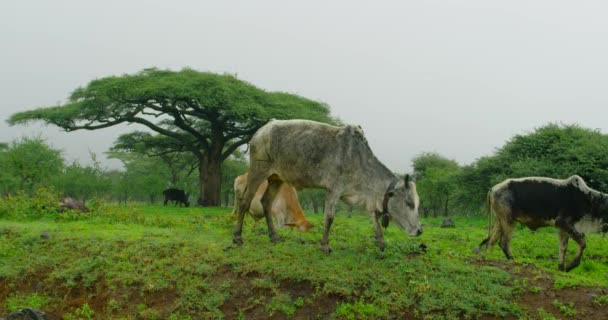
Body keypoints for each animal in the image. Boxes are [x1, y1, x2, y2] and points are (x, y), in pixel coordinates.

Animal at [230, 119, 420, 254]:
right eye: (409, 203)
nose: (419, 231)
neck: (358, 160)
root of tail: (263, 129)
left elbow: (374, 217)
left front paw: (381, 242)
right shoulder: (333, 189)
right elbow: (329, 218)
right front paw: (324, 246)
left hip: (276, 178)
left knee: (266, 202)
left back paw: (274, 237)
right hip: (258, 170)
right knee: (245, 201)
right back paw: (237, 238)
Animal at [480, 176, 608, 272]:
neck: (588, 200)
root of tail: (493, 188)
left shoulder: (563, 228)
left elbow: (563, 247)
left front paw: (561, 267)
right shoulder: (564, 223)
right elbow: (582, 243)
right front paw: (570, 266)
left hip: (500, 220)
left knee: (491, 241)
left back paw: (488, 259)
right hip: (508, 220)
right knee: (503, 242)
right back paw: (513, 260)